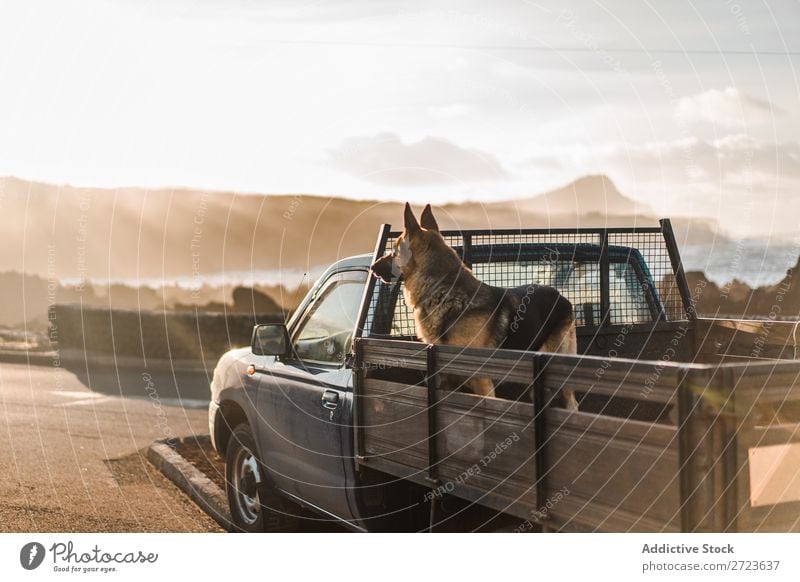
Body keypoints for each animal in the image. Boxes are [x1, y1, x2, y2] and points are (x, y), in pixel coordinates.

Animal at [372, 204, 580, 410]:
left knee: (572, 404)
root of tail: (562, 296)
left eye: (394, 251)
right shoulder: (447, 382)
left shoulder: (482, 381)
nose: (372, 267)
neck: (442, 290)